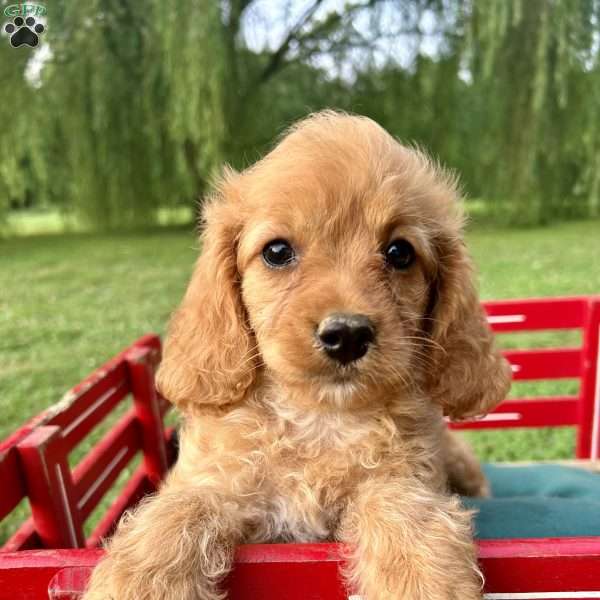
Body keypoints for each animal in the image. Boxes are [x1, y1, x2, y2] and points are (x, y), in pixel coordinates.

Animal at [83, 112, 510, 600]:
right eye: (277, 251)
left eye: (400, 252)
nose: (347, 334)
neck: (318, 418)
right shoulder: (219, 480)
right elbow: (184, 504)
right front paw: (139, 580)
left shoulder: (409, 471)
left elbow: (401, 501)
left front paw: (419, 579)